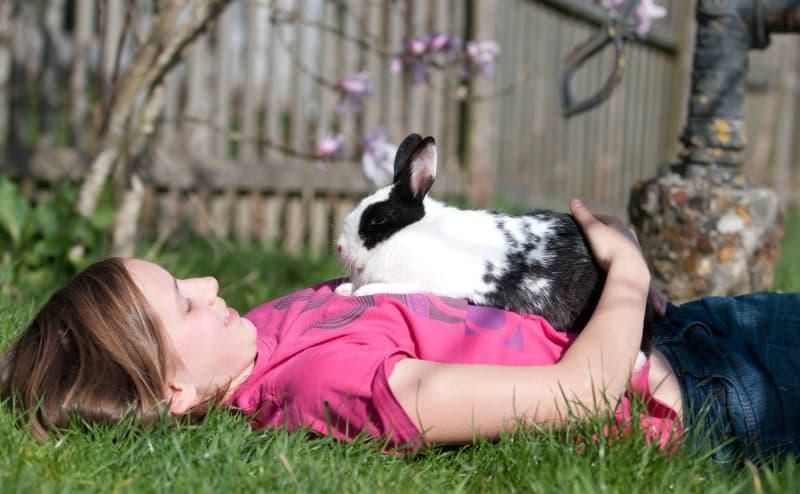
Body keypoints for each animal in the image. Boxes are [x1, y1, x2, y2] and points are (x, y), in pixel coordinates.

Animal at [335, 133, 651, 350]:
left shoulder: (421, 283)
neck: (403, 235)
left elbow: (379, 287)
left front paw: (358, 292)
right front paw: (343, 289)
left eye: (378, 219)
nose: (339, 247)